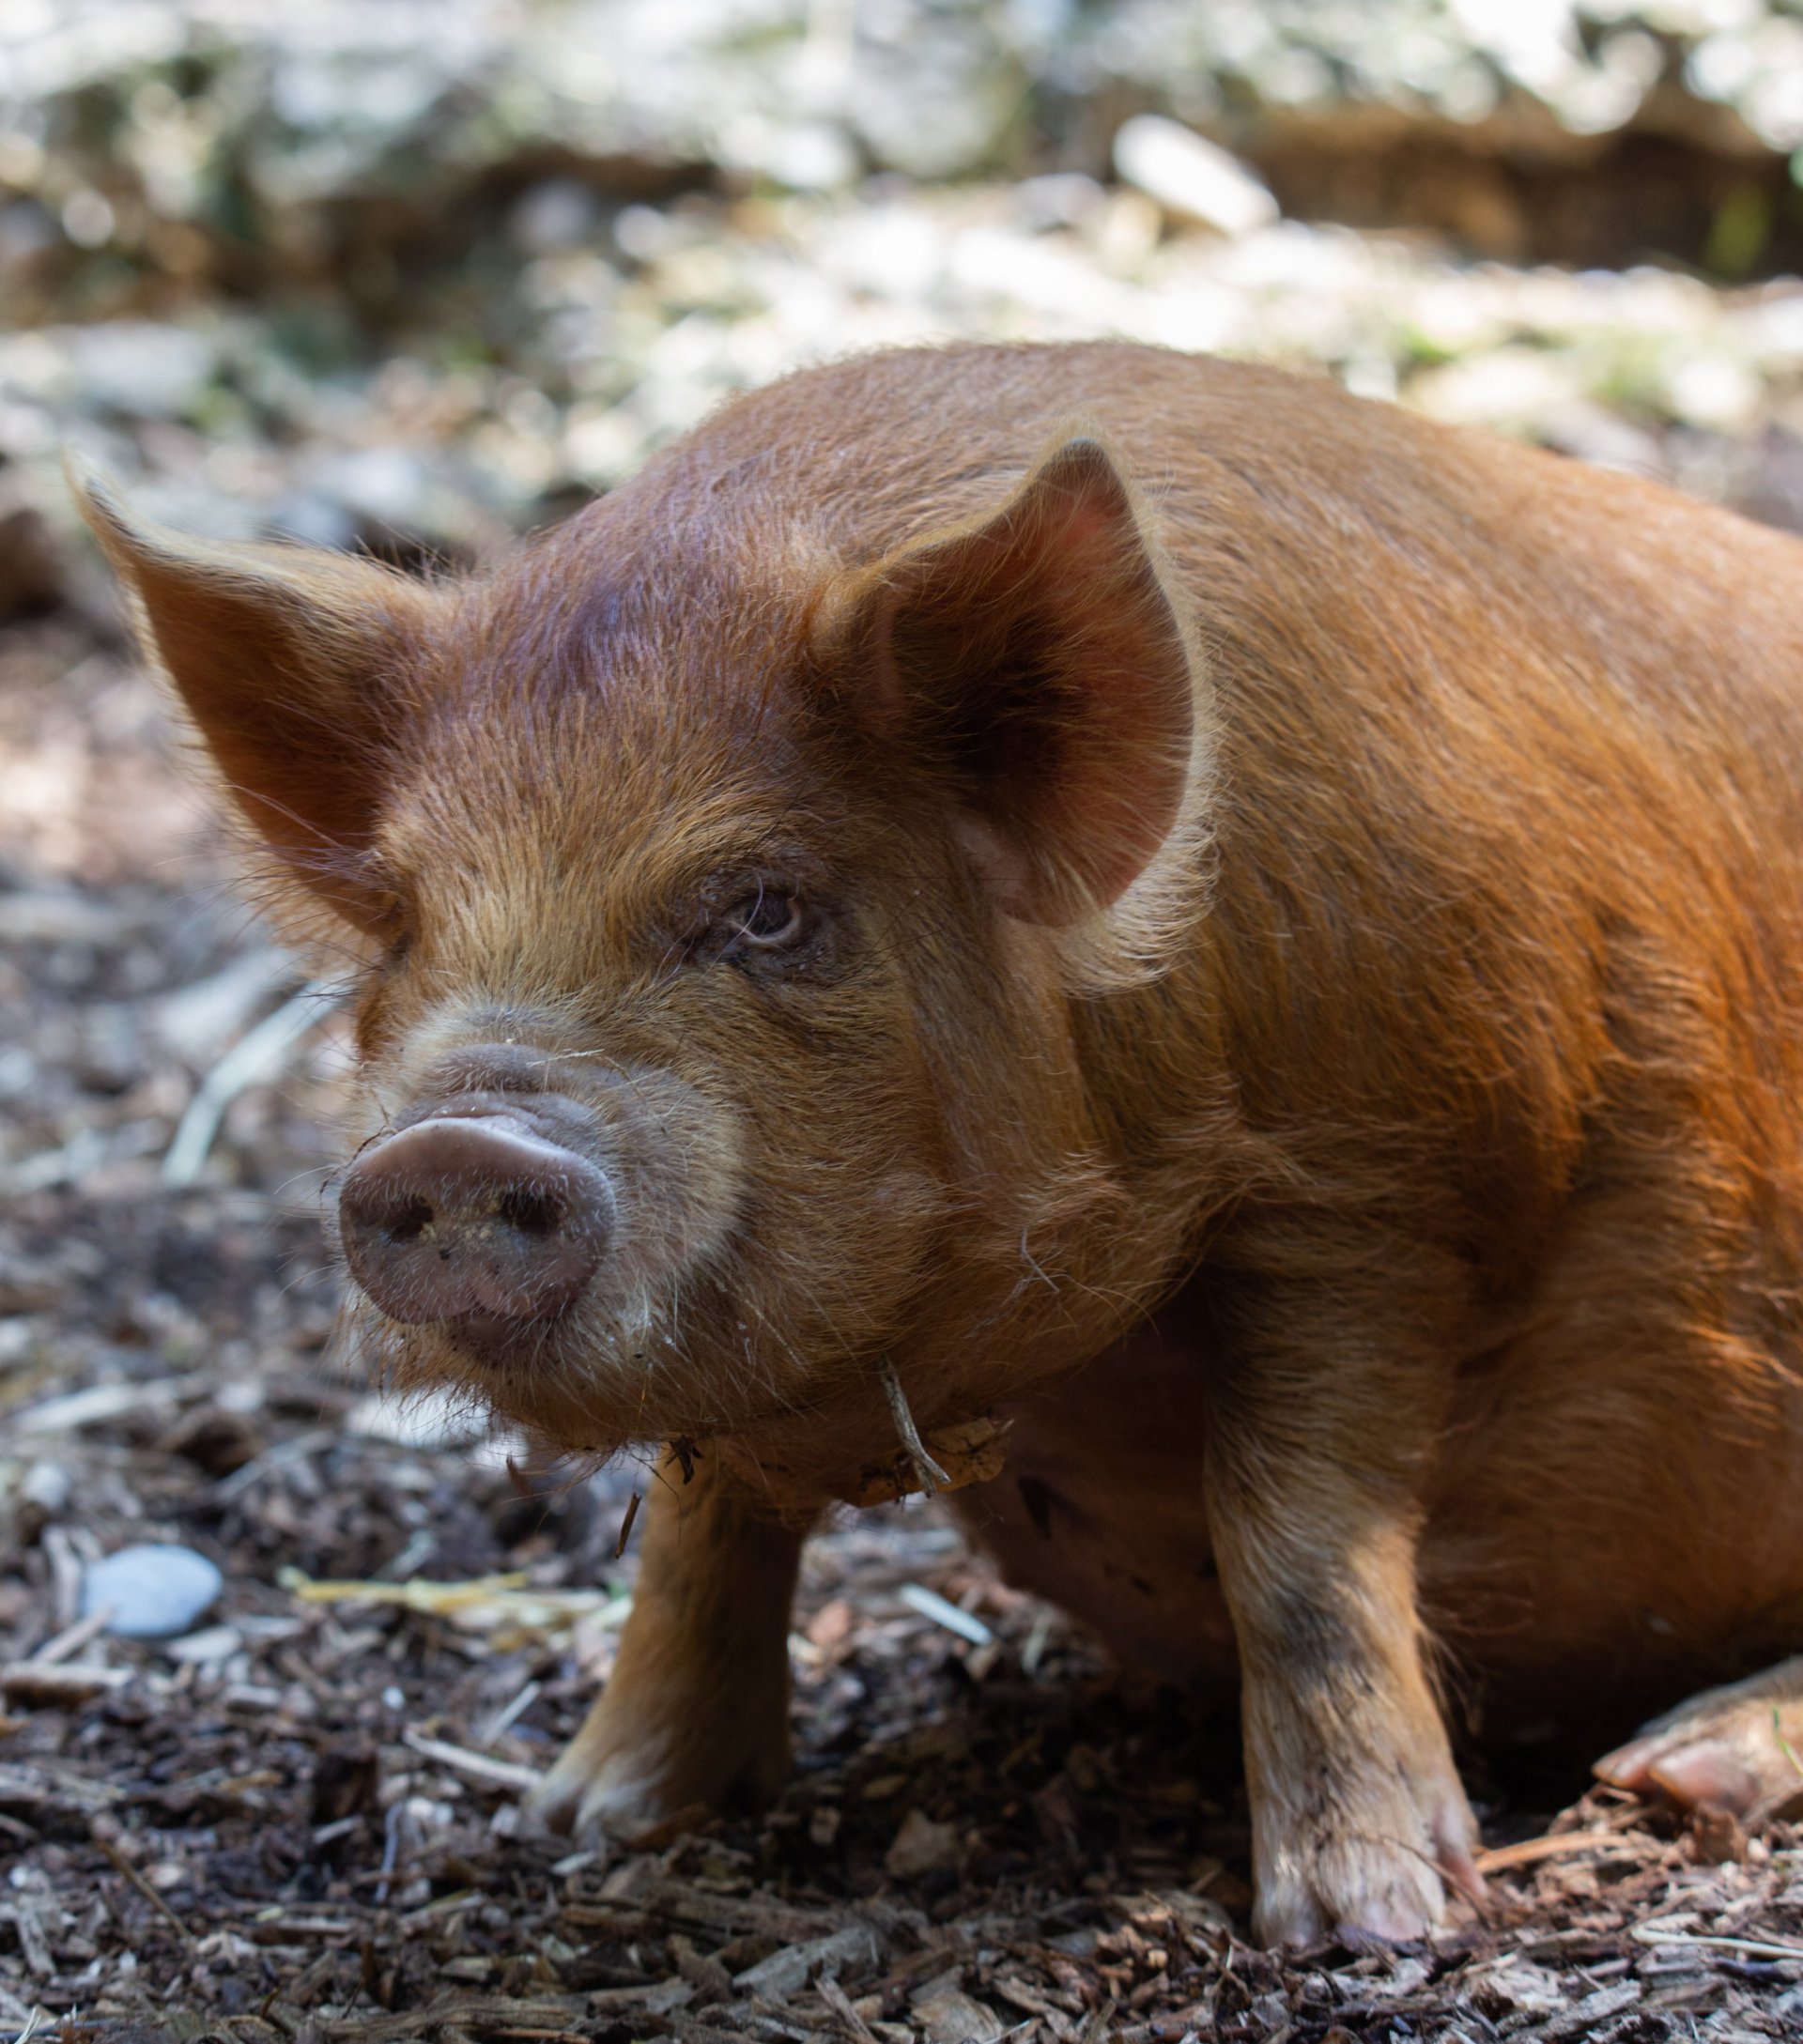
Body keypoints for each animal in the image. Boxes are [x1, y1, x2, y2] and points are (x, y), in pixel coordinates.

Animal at [73, 347, 1803, 1945]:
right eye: (410, 923)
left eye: (768, 907)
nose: (445, 1142)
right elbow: (700, 1537)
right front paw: (592, 1823)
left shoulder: (1390, 1170)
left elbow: (1300, 1530)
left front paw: (1370, 1924)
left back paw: (1670, 1773)